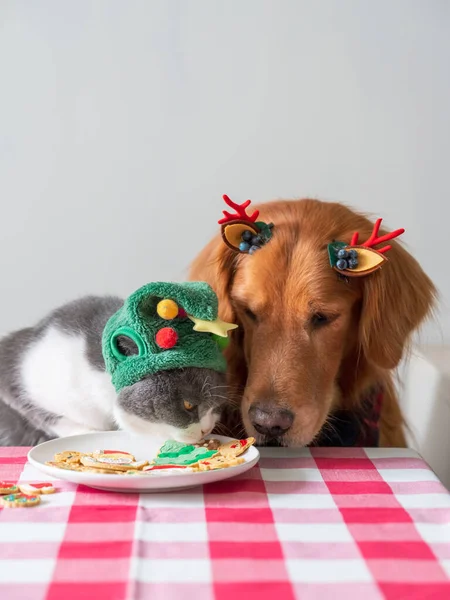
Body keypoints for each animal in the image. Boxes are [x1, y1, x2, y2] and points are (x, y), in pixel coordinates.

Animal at [0, 296, 227, 446]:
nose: (207, 430)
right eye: (188, 405)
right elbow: (48, 417)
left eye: (216, 406)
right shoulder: (16, 376)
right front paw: (85, 433)